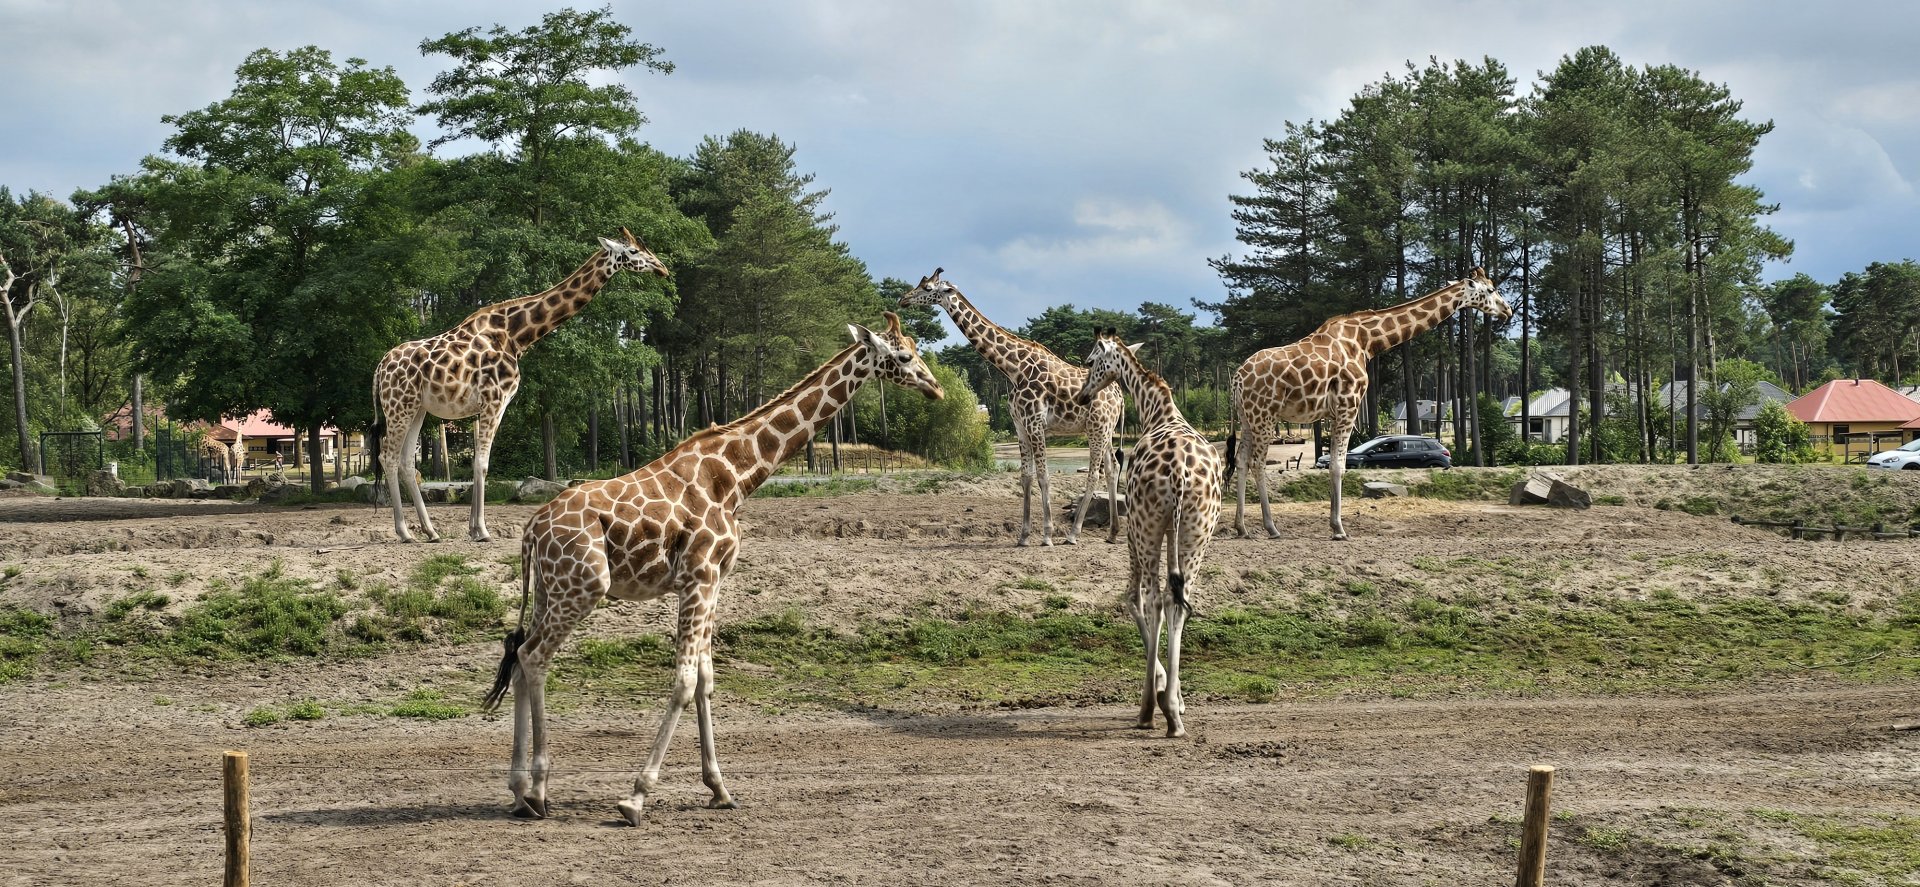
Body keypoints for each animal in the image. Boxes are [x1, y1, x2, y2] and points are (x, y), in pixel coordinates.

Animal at [371, 230, 668, 543]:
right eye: (633, 251)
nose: (662, 268)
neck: (517, 335)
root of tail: (379, 368)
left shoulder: (491, 404)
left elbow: (479, 462)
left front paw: (474, 528)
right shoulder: (494, 400)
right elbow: (482, 463)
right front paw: (482, 530)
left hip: (417, 409)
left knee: (406, 462)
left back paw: (430, 531)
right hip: (398, 407)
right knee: (388, 456)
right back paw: (405, 532)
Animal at [480, 312, 943, 824]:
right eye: (903, 355)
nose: (937, 388)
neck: (737, 476)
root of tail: (531, 529)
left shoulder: (714, 579)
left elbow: (705, 680)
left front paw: (719, 788)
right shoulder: (698, 576)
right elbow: (684, 681)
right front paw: (635, 797)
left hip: (550, 589)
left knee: (518, 661)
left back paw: (519, 791)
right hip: (584, 585)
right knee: (533, 656)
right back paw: (539, 790)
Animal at [899, 268, 1126, 545]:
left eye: (929, 288)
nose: (903, 299)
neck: (1013, 369)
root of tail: (1120, 395)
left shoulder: (1035, 422)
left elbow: (1043, 476)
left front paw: (1047, 535)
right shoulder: (1019, 425)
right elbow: (1025, 477)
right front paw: (1024, 536)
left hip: (1097, 428)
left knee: (1095, 473)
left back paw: (1073, 534)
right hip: (1104, 428)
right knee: (1112, 468)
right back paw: (1112, 533)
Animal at [1075, 329, 1223, 737]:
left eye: (1091, 360)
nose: (1082, 395)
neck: (1157, 411)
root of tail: (1179, 475)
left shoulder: (1134, 531)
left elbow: (1133, 600)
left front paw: (1157, 691)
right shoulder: (1174, 532)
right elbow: (1171, 604)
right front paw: (1175, 694)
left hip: (1147, 528)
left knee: (1155, 599)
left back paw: (1153, 710)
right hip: (1197, 533)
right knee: (1178, 601)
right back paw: (1174, 713)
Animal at [1226, 269, 1511, 541]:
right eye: (1490, 289)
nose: (1507, 310)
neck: (1367, 341)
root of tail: (1237, 378)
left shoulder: (1337, 411)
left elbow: (1334, 463)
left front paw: (1336, 525)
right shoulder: (1348, 405)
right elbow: (1338, 466)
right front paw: (1338, 528)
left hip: (1248, 418)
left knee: (1241, 460)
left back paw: (1241, 528)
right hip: (1265, 415)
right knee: (1257, 463)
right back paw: (1271, 527)